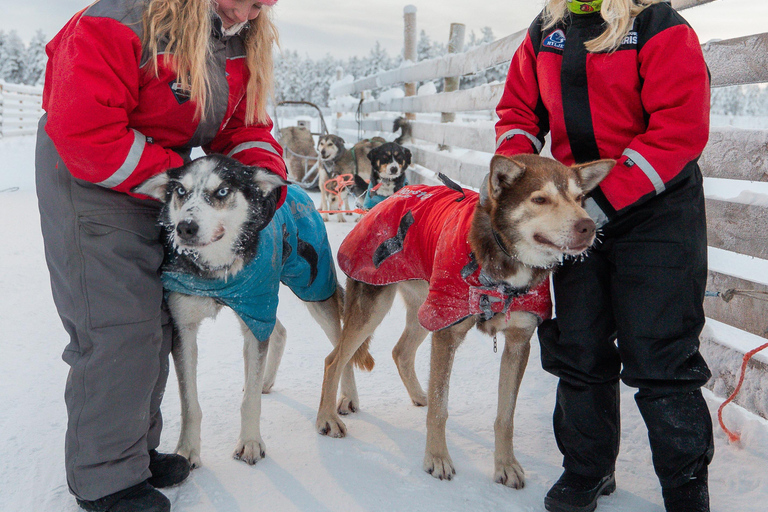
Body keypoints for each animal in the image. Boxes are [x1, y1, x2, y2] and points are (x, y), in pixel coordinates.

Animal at [134, 155, 362, 468]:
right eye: (180, 191)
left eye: (221, 191)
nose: (185, 227)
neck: (218, 273)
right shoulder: (187, 330)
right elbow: (190, 403)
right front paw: (187, 450)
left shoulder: (256, 313)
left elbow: (250, 401)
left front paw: (250, 443)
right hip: (262, 305)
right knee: (280, 332)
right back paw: (266, 380)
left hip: (313, 291)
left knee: (340, 348)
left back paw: (343, 401)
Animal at [316, 155, 616, 488]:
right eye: (540, 199)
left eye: (579, 199)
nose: (588, 226)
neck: (503, 268)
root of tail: (388, 198)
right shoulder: (447, 333)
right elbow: (440, 410)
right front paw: (437, 458)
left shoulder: (518, 342)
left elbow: (505, 416)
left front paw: (506, 465)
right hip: (377, 307)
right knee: (334, 359)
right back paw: (328, 417)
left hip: (426, 311)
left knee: (400, 352)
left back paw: (418, 395)